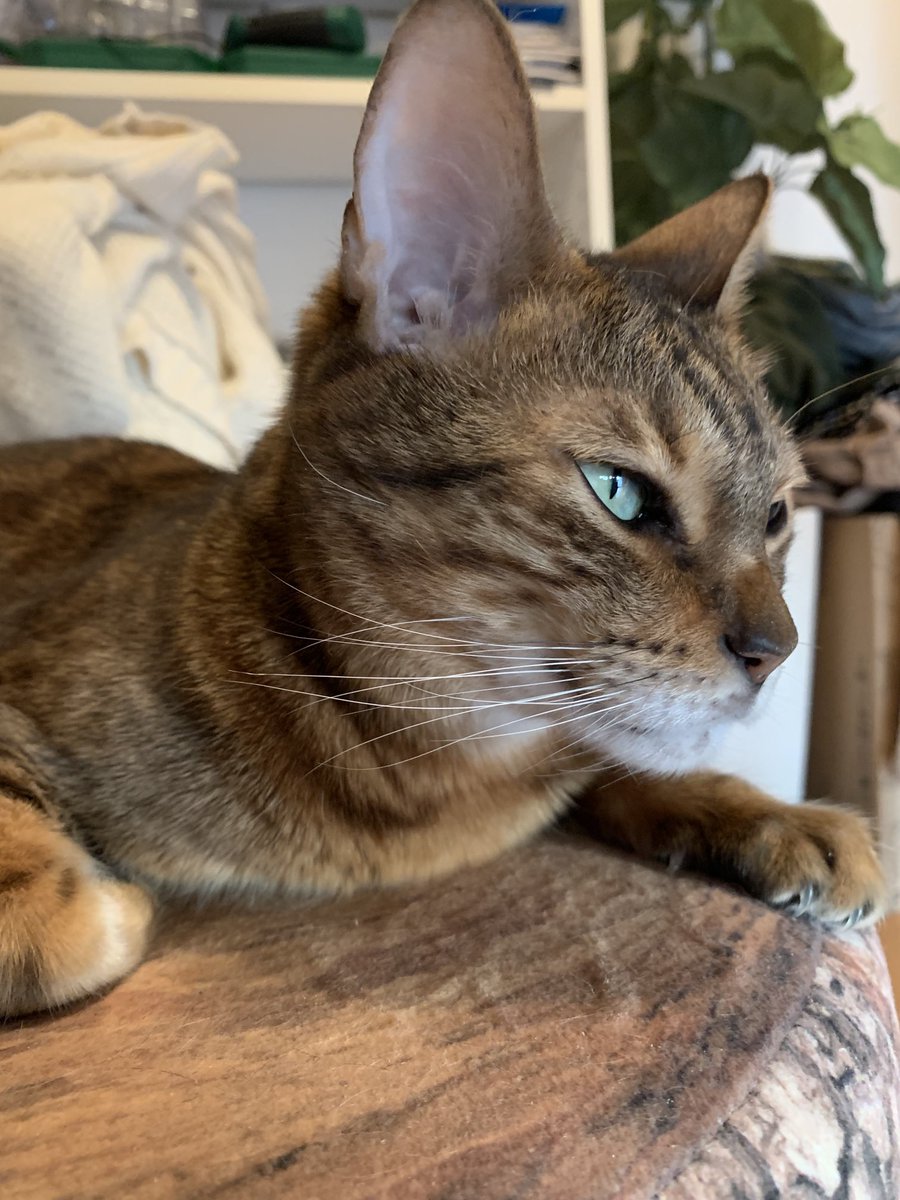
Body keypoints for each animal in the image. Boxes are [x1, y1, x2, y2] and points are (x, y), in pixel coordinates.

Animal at [0, 0, 885, 1018]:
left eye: (777, 512)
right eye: (619, 490)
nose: (778, 651)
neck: (438, 793)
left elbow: (617, 759)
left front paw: (763, 812)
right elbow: (65, 920)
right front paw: (87, 904)